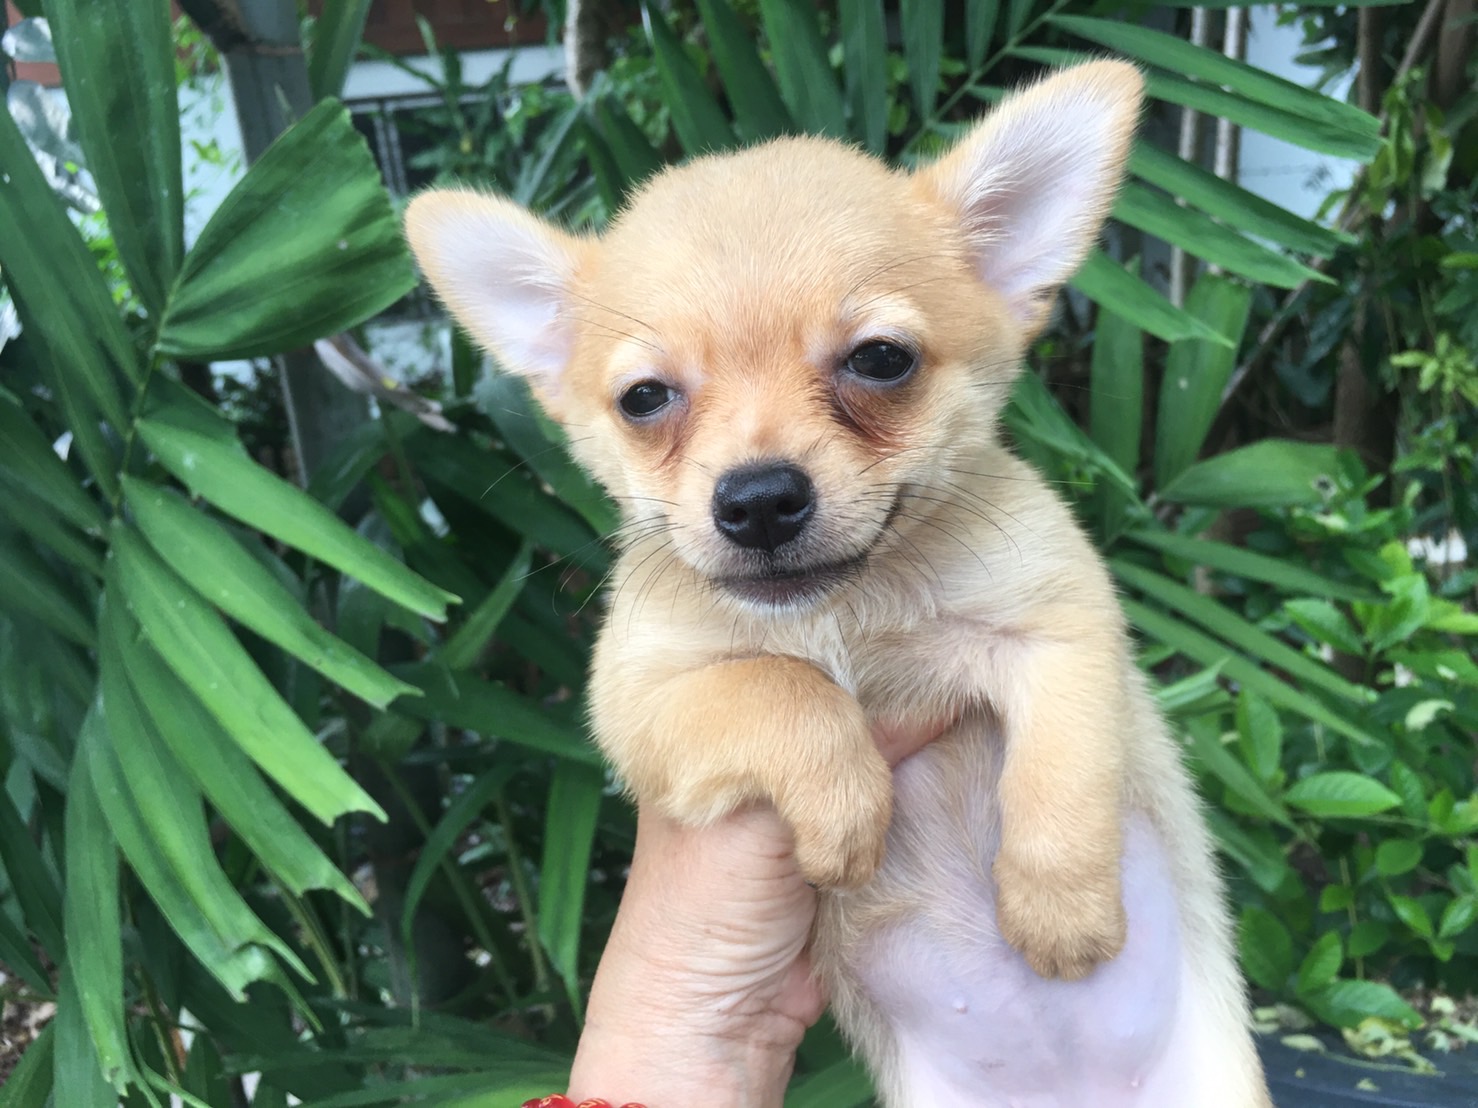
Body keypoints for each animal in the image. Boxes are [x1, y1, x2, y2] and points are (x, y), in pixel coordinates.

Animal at [406, 60, 1273, 1106]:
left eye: (880, 360)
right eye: (645, 399)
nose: (759, 499)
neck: (846, 613)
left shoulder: (1063, 629)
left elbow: (1061, 772)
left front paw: (1060, 911)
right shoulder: (644, 703)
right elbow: (786, 689)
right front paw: (846, 805)